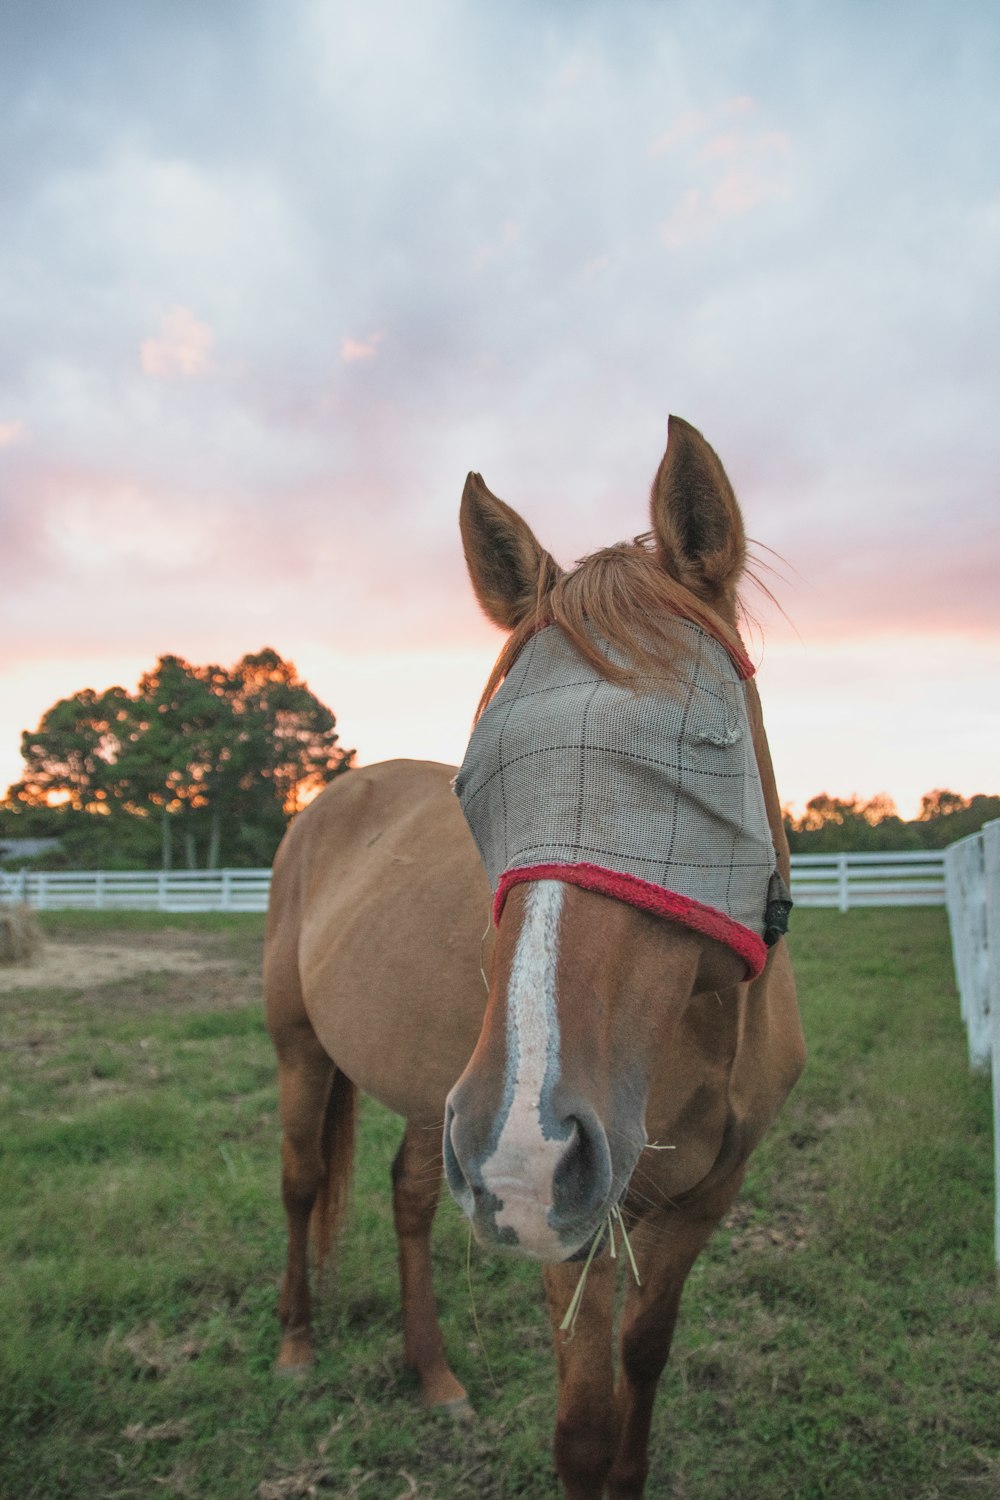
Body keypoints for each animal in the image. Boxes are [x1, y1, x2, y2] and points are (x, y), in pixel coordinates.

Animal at [263, 417, 803, 1500]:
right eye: (474, 779)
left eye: (710, 743)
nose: (526, 1145)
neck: (707, 1027)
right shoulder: (570, 1220)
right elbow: (583, 1425)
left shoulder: (704, 1200)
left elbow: (645, 1361)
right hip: (313, 1055)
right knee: (302, 1183)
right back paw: (298, 1348)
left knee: (410, 1195)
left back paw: (432, 1374)